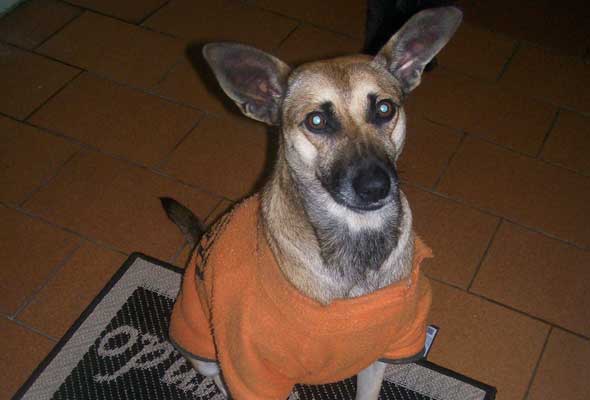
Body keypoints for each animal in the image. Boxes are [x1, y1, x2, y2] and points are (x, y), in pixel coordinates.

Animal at [162, 7, 462, 399]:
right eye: (316, 120)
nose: (376, 186)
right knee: (217, 377)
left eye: (384, 109)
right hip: (204, 350)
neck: (354, 239)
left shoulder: (389, 348)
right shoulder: (251, 367)